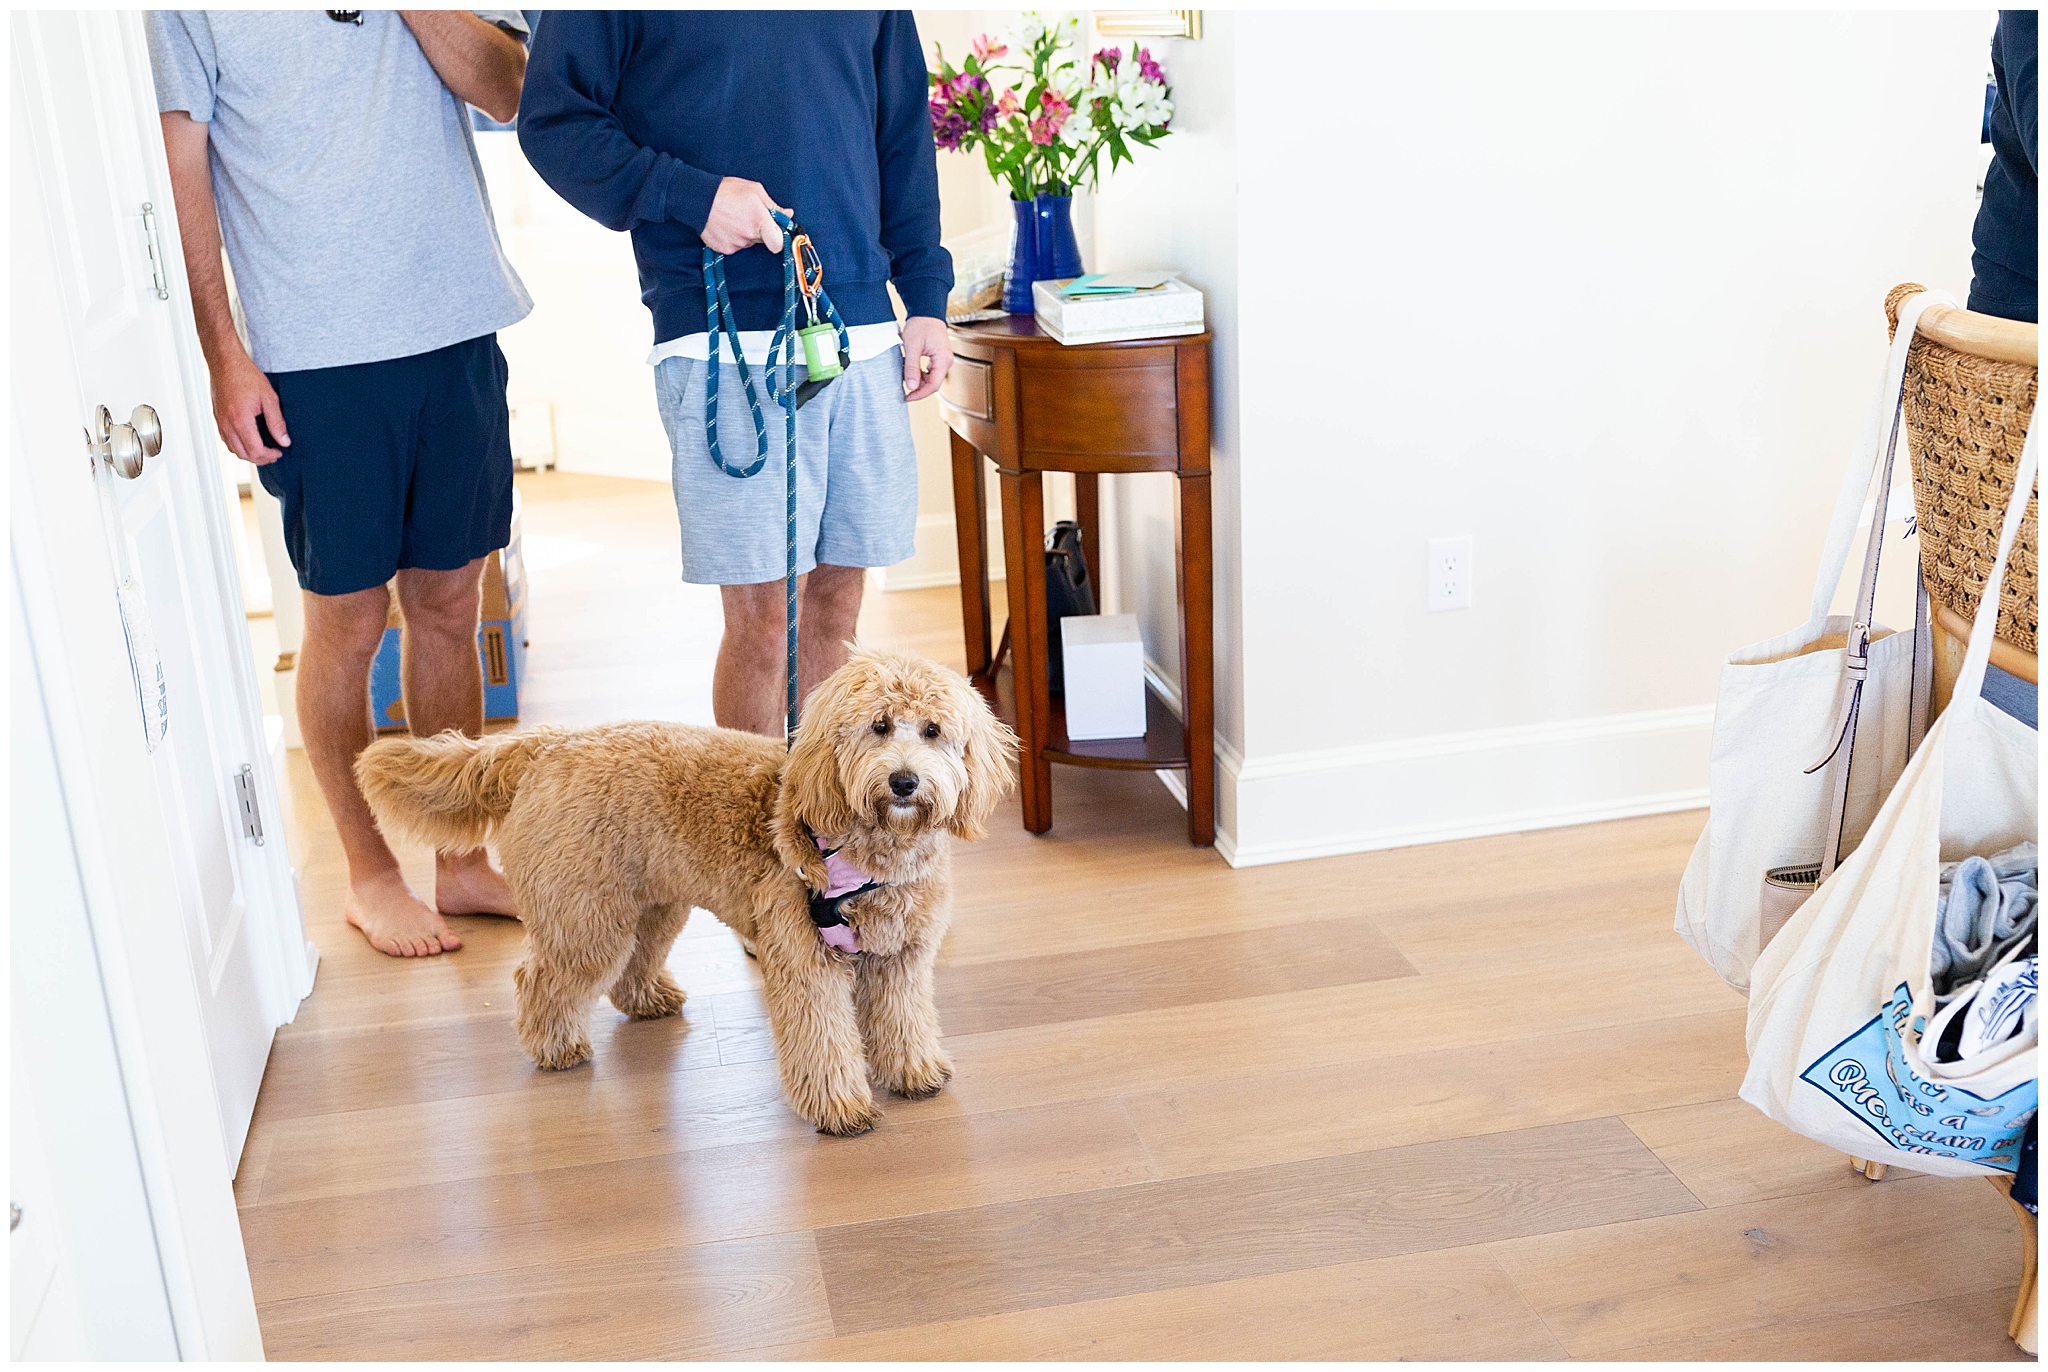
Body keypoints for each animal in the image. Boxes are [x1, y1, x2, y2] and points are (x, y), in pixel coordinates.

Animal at [364, 651, 1019, 1138]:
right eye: (879, 727)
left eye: (933, 731)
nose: (904, 781)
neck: (869, 854)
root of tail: (547, 746)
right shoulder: (806, 963)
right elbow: (824, 1042)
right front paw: (841, 1109)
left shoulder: (900, 960)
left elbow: (905, 1020)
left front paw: (914, 1072)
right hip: (586, 917)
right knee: (541, 978)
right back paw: (557, 1046)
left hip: (652, 905)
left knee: (631, 967)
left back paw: (648, 999)